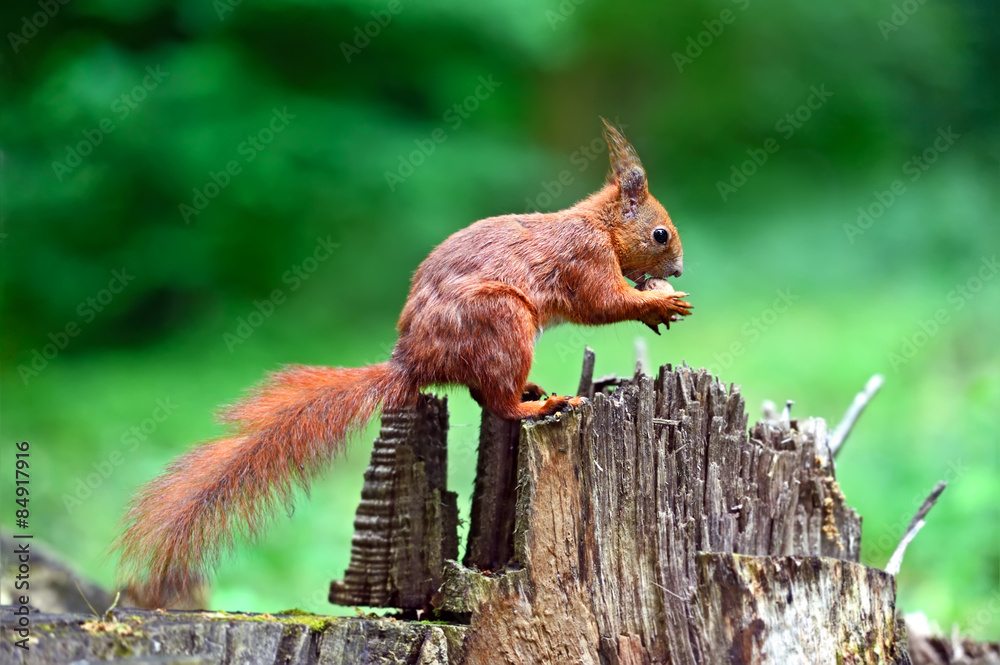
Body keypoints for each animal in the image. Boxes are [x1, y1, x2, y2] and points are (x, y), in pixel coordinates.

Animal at [115, 119, 690, 608]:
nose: (680, 270)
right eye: (660, 234)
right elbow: (602, 302)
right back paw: (540, 405)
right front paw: (658, 305)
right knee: (495, 402)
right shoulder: (583, 259)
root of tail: (412, 363)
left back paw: (532, 390)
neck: (599, 225)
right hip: (502, 322)